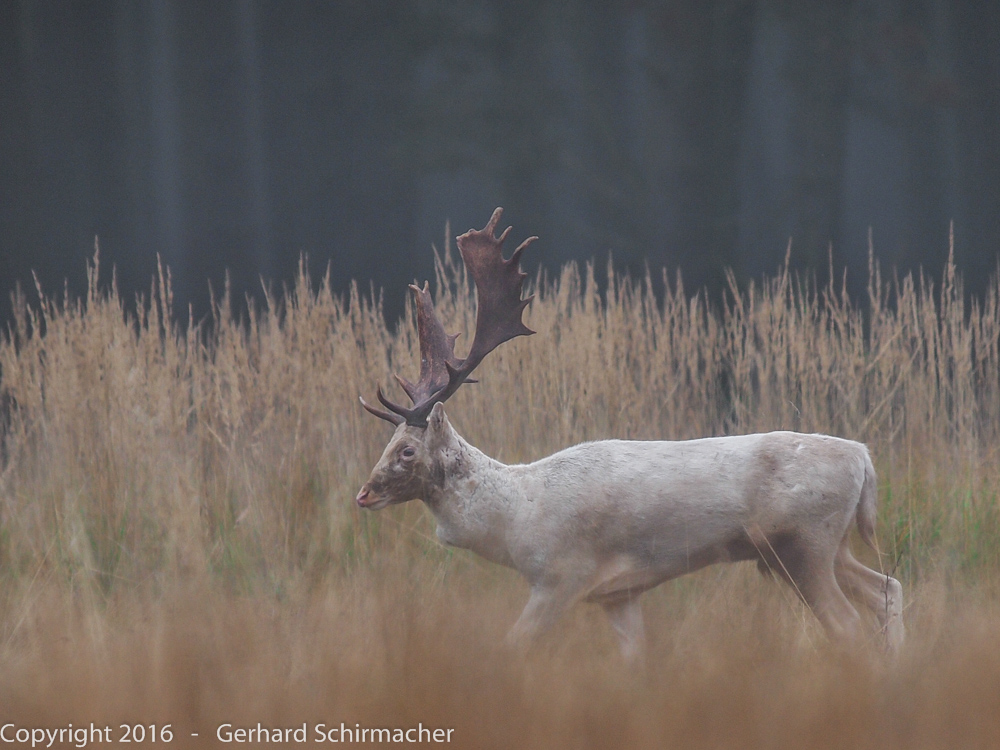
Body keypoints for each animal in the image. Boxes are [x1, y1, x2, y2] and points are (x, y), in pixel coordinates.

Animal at [356, 209, 904, 660]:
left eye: (407, 450)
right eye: (387, 443)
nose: (363, 494)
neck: (517, 518)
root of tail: (863, 458)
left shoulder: (562, 577)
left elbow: (512, 647)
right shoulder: (618, 594)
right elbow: (634, 663)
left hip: (803, 543)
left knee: (850, 624)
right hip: (830, 547)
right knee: (889, 590)